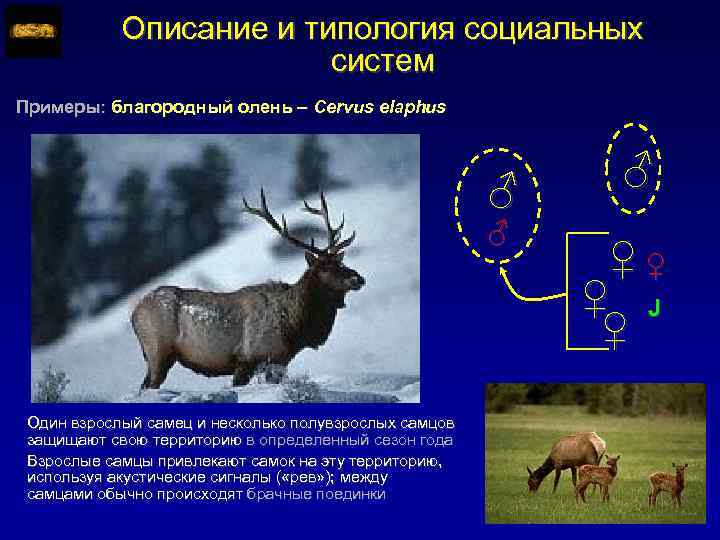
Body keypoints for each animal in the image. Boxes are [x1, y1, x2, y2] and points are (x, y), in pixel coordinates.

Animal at [131, 189, 365, 390]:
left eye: (341, 263)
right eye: (325, 267)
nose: (358, 278)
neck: (294, 326)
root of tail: (134, 312)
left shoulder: (279, 362)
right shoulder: (247, 358)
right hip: (157, 351)